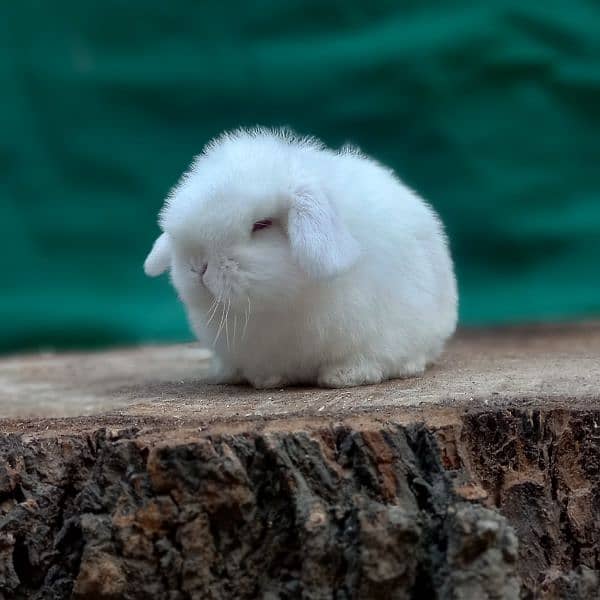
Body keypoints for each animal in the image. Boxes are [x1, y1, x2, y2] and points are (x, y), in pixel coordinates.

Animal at [143, 127, 458, 390]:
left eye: (262, 224)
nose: (198, 266)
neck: (285, 302)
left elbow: (366, 359)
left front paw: (344, 377)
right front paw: (266, 380)